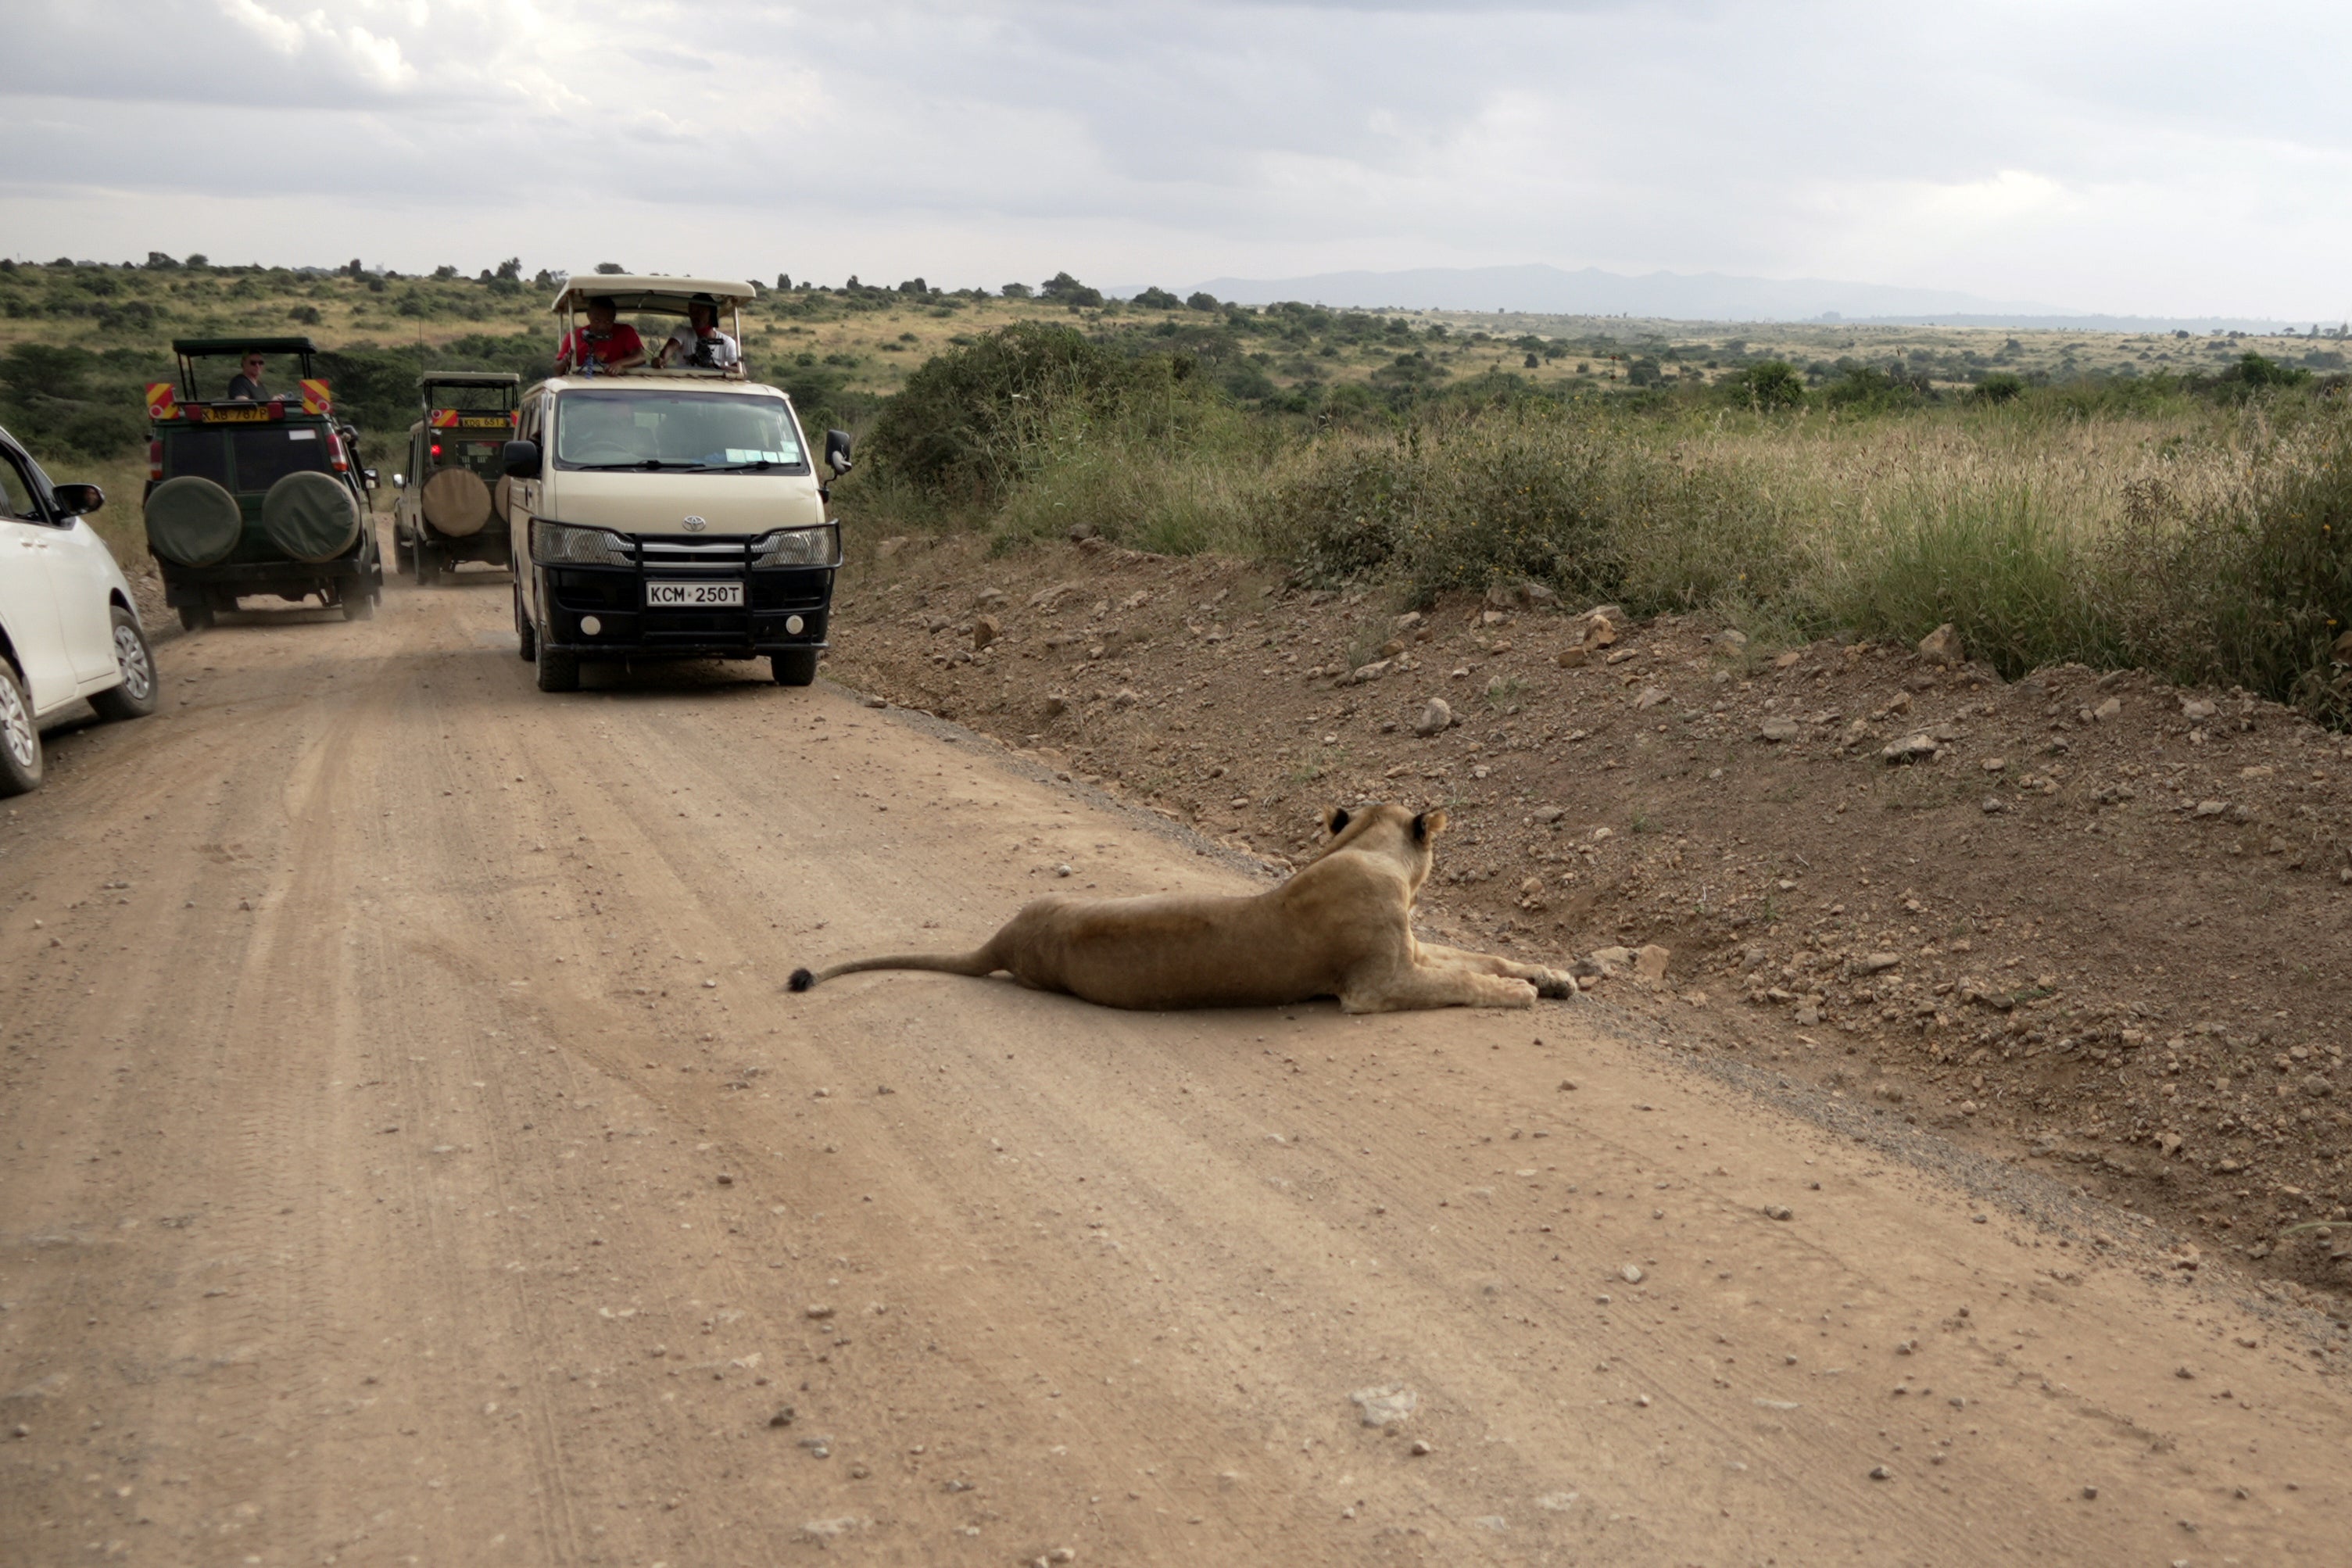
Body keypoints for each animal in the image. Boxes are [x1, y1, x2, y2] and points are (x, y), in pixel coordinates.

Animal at [786, 802, 1576, 1013]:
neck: (1363, 849)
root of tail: (1006, 939)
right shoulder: (1376, 986)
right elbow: (1464, 981)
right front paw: (1518, 995)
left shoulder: (1411, 949)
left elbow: (1481, 954)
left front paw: (1553, 976)